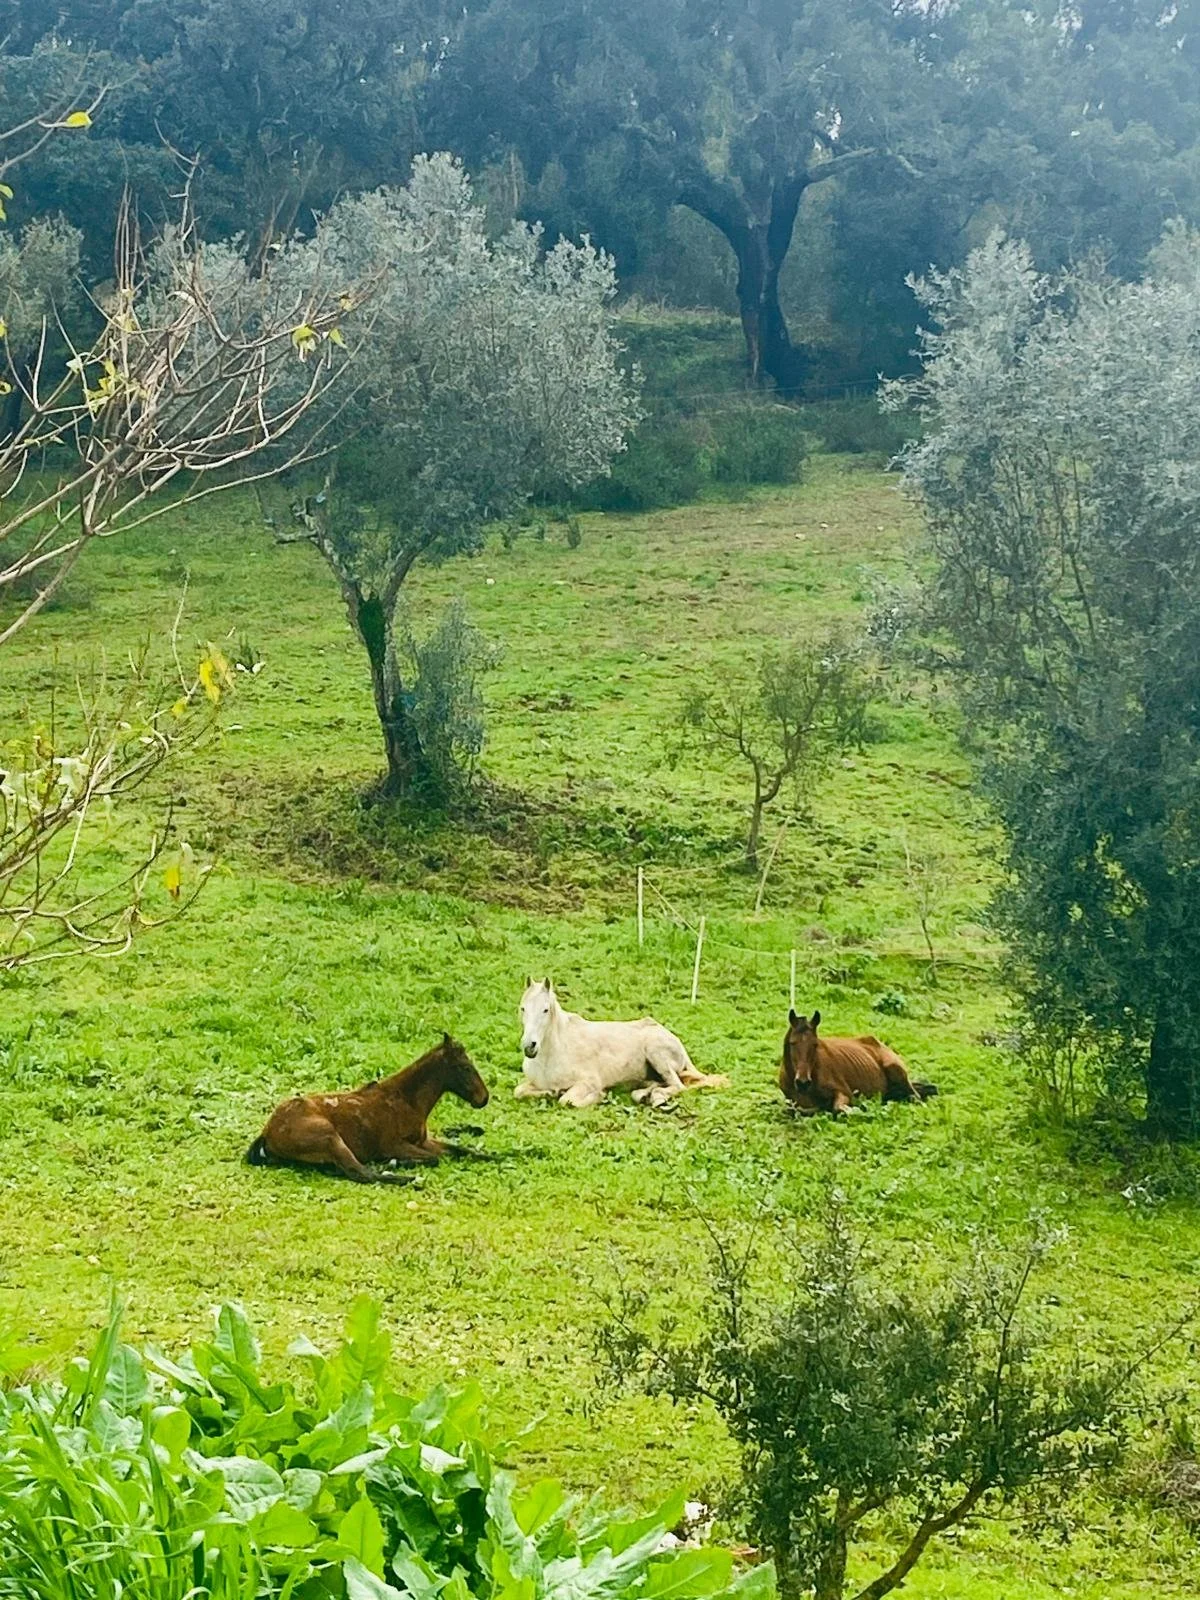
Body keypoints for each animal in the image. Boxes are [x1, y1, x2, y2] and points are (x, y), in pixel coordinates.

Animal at [246, 1034, 490, 1182]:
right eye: (465, 1067)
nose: (484, 1098)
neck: (406, 1100)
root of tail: (267, 1133)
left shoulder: (423, 1141)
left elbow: (463, 1150)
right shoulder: (395, 1144)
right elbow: (434, 1158)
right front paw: (397, 1161)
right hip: (330, 1138)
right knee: (362, 1173)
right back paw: (407, 1177)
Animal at [517, 978, 728, 1108]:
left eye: (545, 1010)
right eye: (522, 1008)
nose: (529, 1046)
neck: (552, 1055)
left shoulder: (588, 1082)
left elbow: (567, 1100)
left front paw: (599, 1096)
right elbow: (518, 1091)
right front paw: (549, 1093)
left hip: (657, 1054)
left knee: (678, 1086)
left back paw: (656, 1098)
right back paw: (645, 1095)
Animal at [779, 1008, 938, 1116]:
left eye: (815, 1044)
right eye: (792, 1043)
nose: (803, 1082)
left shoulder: (844, 1093)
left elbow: (837, 1108)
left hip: (895, 1069)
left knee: (915, 1096)